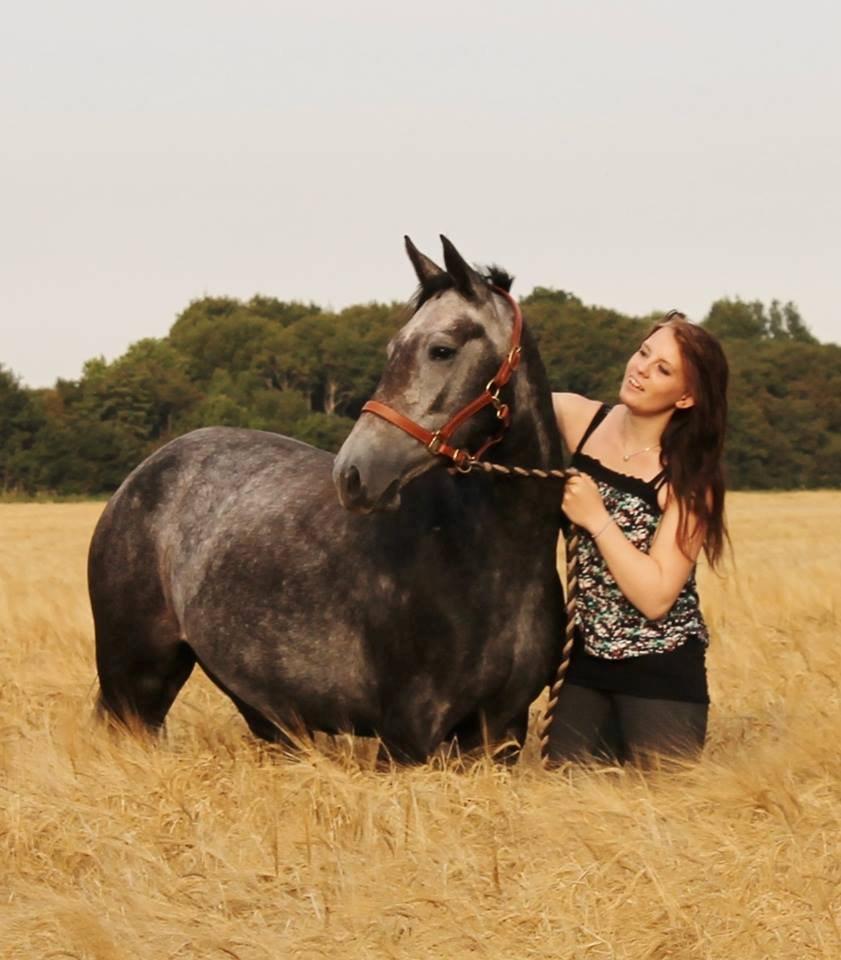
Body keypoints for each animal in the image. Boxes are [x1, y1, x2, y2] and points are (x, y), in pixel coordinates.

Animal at [88, 236, 564, 760]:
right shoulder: (406, 736)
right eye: (393, 347)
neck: (494, 560)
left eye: (442, 349)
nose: (353, 474)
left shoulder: (500, 732)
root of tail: (138, 479)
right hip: (135, 683)